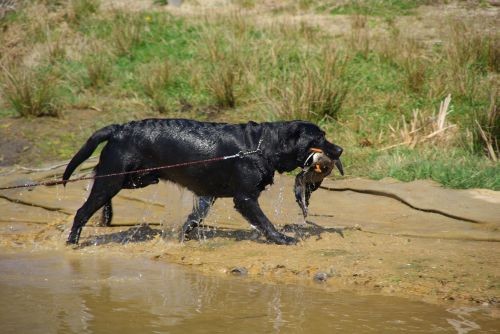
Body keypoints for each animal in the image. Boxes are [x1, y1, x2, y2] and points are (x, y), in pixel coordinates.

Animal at [62, 118, 344, 244]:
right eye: (320, 137)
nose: (340, 149)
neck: (262, 146)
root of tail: (118, 128)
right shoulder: (245, 197)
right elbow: (265, 222)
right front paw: (282, 238)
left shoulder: (209, 195)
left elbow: (193, 218)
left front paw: (181, 236)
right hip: (117, 179)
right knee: (82, 210)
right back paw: (73, 241)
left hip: (136, 178)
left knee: (97, 178)